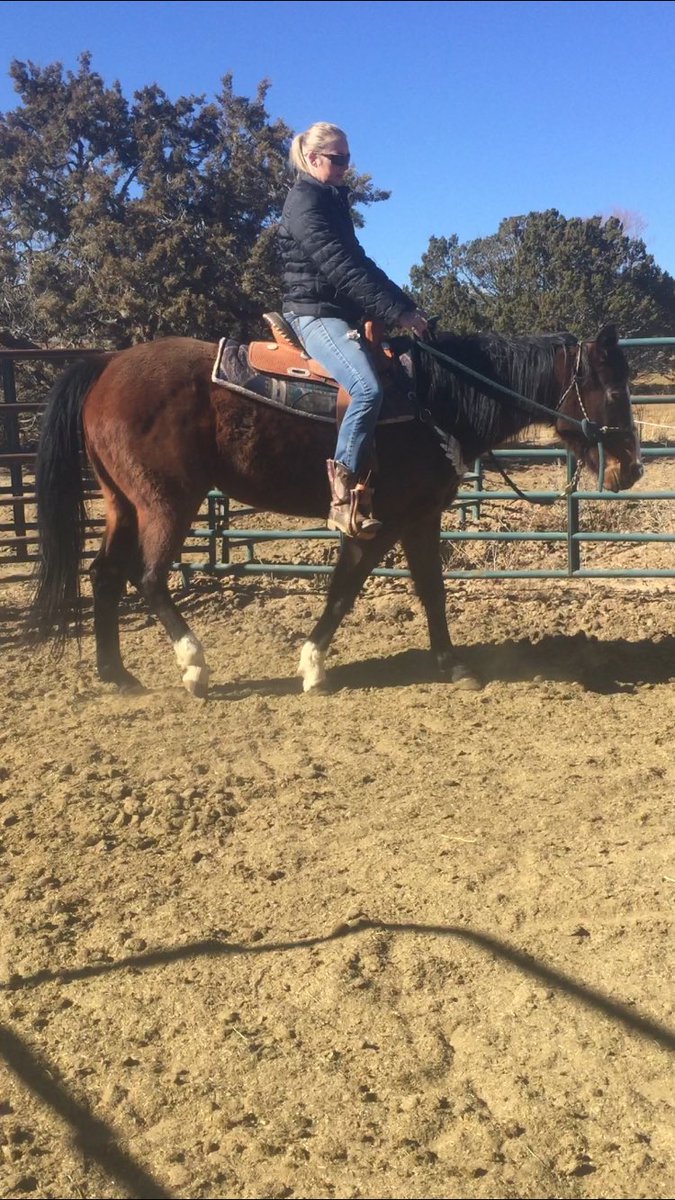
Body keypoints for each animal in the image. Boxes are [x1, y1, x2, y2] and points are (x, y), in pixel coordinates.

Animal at [31, 324, 638, 700]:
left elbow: (431, 590)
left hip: (122, 504)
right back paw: (194, 667)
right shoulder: (375, 525)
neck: (433, 400)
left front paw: (453, 665)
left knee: (105, 575)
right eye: (614, 391)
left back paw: (117, 675)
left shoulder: (420, 518)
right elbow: (344, 589)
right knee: (150, 578)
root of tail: (106, 363)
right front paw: (312, 667)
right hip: (167, 503)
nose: (630, 469)